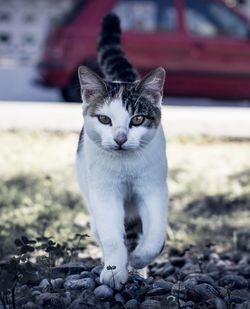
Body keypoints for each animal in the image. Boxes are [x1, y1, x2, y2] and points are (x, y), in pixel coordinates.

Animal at [74, 12, 168, 288]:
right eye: (104, 119)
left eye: (137, 119)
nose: (120, 138)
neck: (125, 165)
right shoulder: (104, 193)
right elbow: (113, 238)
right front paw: (115, 270)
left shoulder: (153, 188)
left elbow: (155, 235)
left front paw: (138, 260)